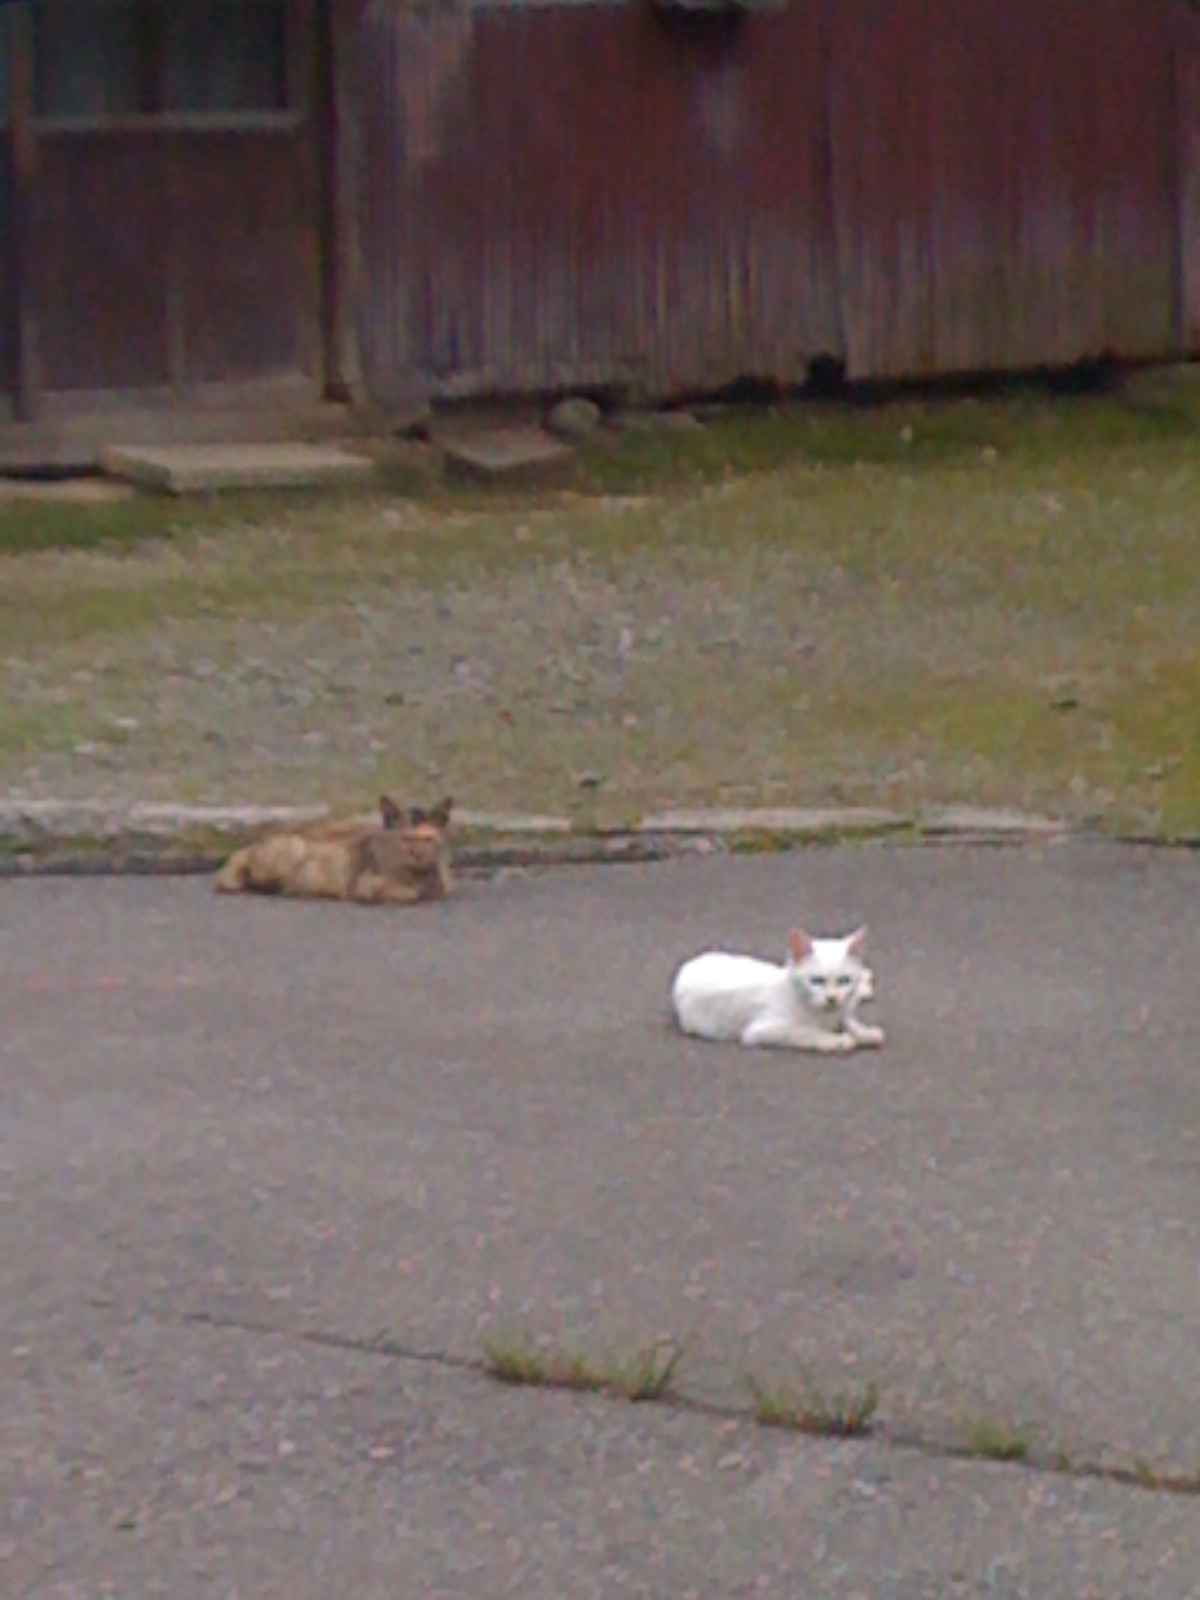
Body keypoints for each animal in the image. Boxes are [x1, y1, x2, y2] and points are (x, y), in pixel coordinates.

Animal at [214, 795, 453, 905]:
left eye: (428, 839)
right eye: (405, 839)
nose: (417, 854)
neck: (421, 874)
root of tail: (251, 845)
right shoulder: (364, 886)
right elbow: (410, 893)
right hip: (296, 848)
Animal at [671, 925, 884, 1053]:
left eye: (843, 980)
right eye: (816, 981)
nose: (832, 998)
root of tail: (688, 965)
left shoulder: (841, 1009)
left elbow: (849, 1020)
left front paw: (865, 1033)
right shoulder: (759, 1031)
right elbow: (805, 1032)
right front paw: (835, 1040)